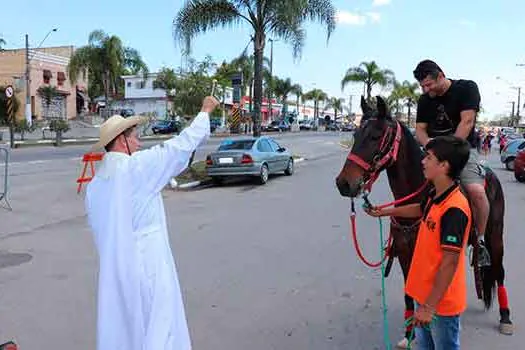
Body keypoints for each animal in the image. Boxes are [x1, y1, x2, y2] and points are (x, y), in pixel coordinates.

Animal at [336, 95, 512, 348]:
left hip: (495, 236)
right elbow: (410, 291)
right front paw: (410, 330)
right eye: (355, 135)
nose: (344, 183)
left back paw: (505, 317)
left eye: (375, 136)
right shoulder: (405, 253)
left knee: (499, 270)